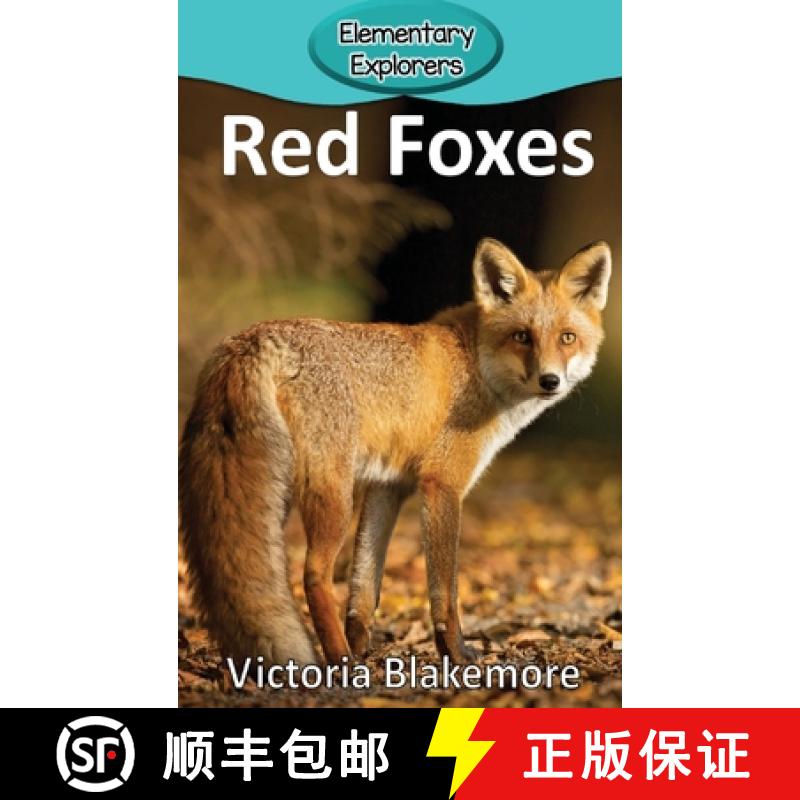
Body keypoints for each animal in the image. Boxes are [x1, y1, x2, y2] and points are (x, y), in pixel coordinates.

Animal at [179, 237, 612, 667]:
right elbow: (445, 591)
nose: (550, 380)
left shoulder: (387, 486)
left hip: (277, 492)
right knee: (313, 574)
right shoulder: (441, 484)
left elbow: (364, 586)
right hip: (331, 497)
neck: (475, 365)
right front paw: (455, 653)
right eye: (522, 336)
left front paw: (362, 644)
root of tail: (251, 340)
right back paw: (339, 660)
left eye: (567, 338)